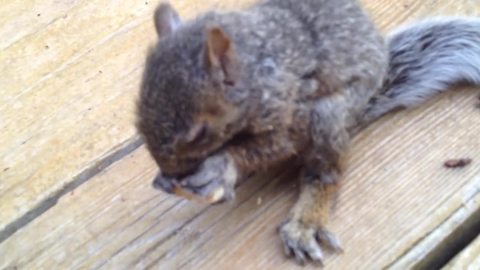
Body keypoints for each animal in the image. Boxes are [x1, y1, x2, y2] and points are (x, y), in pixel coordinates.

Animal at [136, 0, 480, 266]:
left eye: (198, 133)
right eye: (137, 121)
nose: (169, 171)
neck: (254, 70)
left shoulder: (289, 111)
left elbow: (270, 147)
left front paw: (222, 166)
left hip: (328, 118)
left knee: (325, 174)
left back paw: (305, 220)